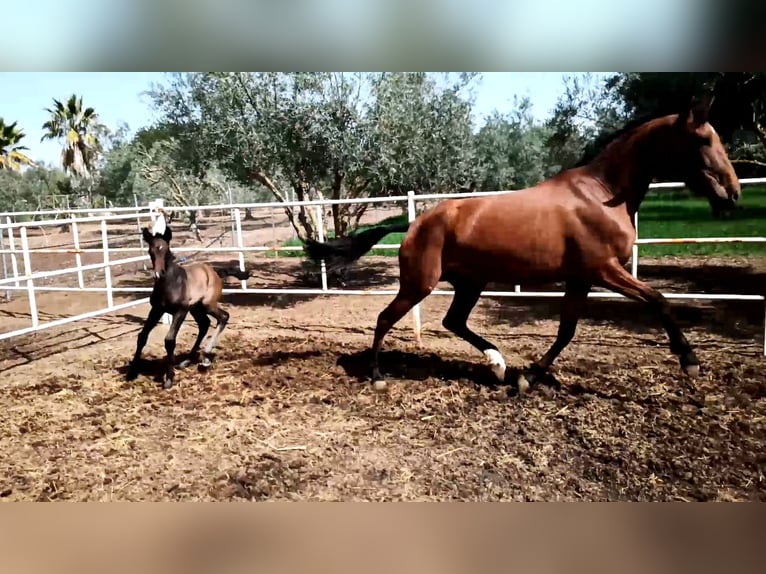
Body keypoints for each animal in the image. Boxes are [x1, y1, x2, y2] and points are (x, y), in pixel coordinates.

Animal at [126, 225, 250, 392]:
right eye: (150, 251)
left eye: (166, 250)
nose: (158, 274)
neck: (170, 284)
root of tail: (215, 272)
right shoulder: (156, 310)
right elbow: (142, 336)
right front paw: (131, 372)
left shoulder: (180, 311)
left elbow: (169, 340)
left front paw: (169, 379)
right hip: (196, 308)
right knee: (204, 324)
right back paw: (187, 361)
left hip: (207, 305)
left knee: (223, 317)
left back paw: (205, 357)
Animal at [306, 97, 744, 398]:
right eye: (703, 138)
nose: (733, 193)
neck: (602, 194)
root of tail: (416, 222)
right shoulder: (605, 270)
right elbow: (658, 300)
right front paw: (690, 362)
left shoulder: (581, 278)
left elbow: (566, 330)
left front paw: (527, 378)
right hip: (420, 283)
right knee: (385, 318)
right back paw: (378, 377)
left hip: (470, 283)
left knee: (453, 322)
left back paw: (499, 365)